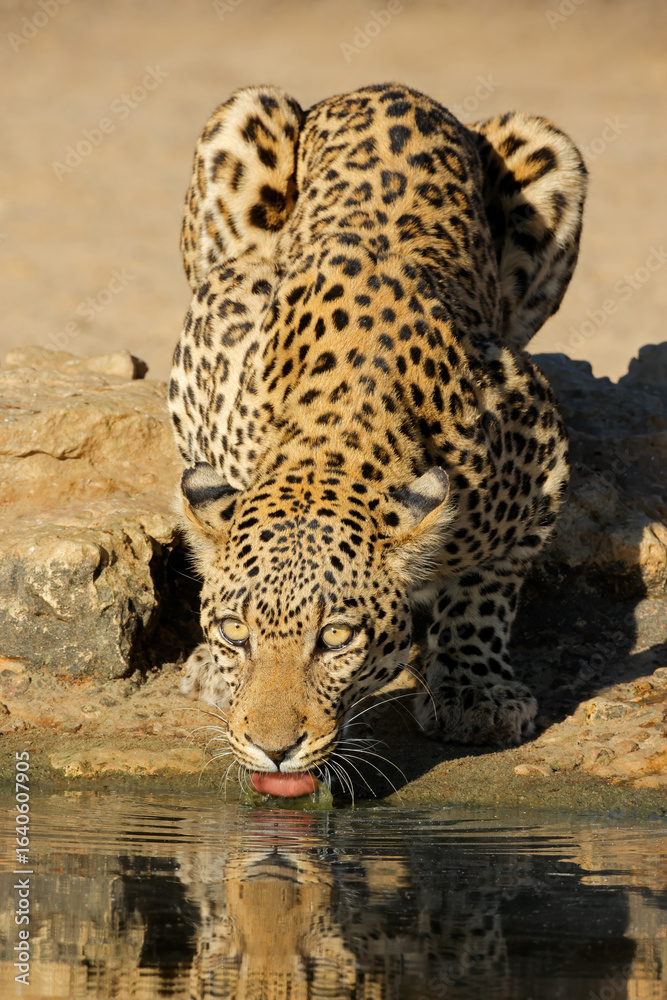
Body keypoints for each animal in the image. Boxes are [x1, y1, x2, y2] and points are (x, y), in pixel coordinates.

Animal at [168, 83, 587, 791]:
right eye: (234, 630)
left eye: (336, 637)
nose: (273, 749)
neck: (340, 425)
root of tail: (387, 88)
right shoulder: (210, 335)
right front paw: (213, 669)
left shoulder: (539, 448)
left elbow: (487, 587)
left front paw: (474, 690)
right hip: (242, 122)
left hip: (552, 156)